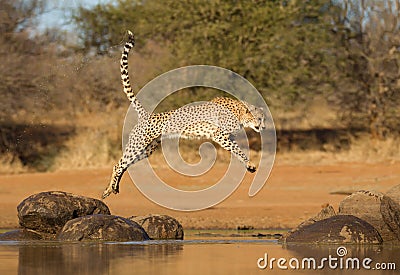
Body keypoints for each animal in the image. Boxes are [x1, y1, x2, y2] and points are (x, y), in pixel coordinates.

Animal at [101, 31, 268, 199]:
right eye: (259, 118)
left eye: (263, 118)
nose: (264, 127)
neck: (240, 113)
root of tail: (147, 114)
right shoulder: (219, 135)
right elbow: (238, 150)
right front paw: (250, 163)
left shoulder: (228, 137)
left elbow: (236, 149)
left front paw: (248, 165)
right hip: (138, 144)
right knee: (118, 164)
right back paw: (109, 189)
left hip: (148, 148)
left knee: (125, 165)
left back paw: (113, 188)